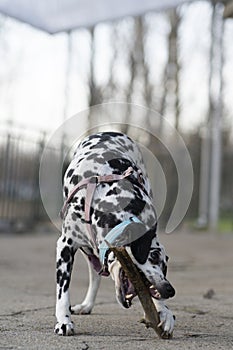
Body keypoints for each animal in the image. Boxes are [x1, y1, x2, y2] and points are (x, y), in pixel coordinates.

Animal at [54, 131, 175, 336]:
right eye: (153, 255)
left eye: (165, 265)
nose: (170, 290)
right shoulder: (65, 246)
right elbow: (62, 291)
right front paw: (64, 321)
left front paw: (164, 312)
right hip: (86, 249)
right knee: (94, 274)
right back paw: (86, 305)